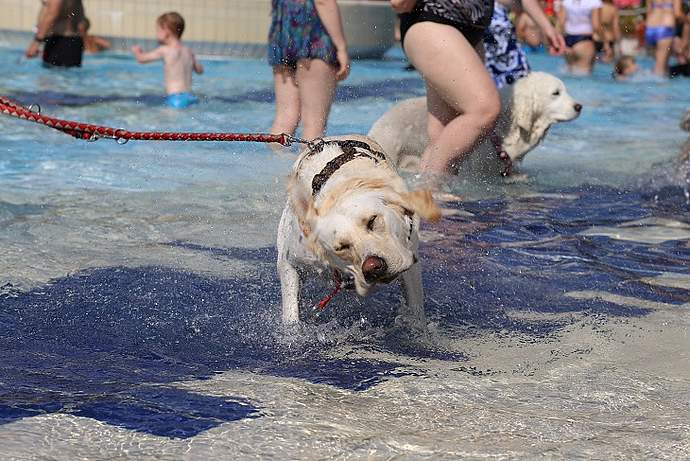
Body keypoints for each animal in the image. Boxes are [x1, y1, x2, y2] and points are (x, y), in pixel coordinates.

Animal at [276, 135, 438, 326]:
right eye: (341, 247)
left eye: (372, 220)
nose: (373, 267)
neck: (338, 190)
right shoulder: (291, 258)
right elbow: (291, 313)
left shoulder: (410, 257)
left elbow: (416, 309)